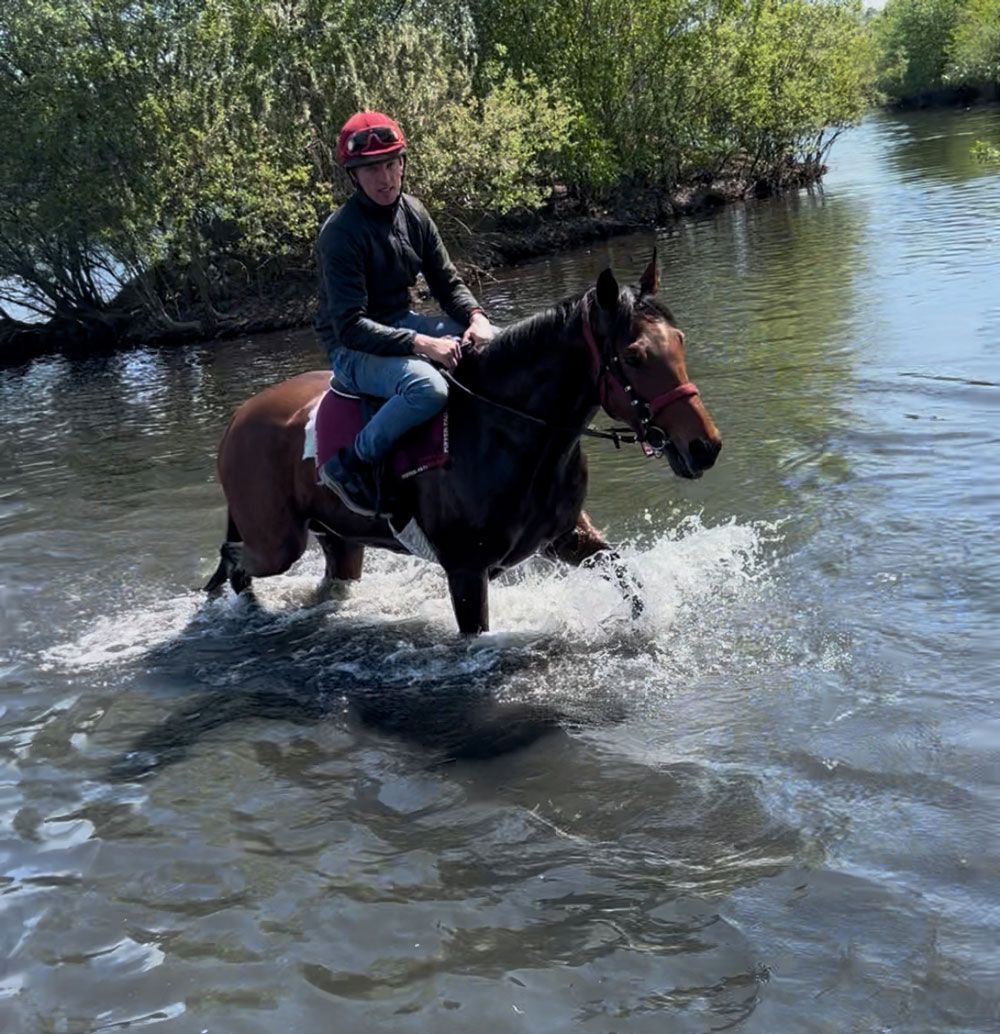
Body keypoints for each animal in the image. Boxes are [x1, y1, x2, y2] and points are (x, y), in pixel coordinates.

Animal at [205, 252, 721, 634]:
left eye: (679, 340)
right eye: (633, 356)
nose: (704, 447)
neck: (507, 432)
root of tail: (239, 419)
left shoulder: (564, 537)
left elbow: (626, 578)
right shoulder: (466, 572)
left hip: (339, 540)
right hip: (278, 544)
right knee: (235, 561)